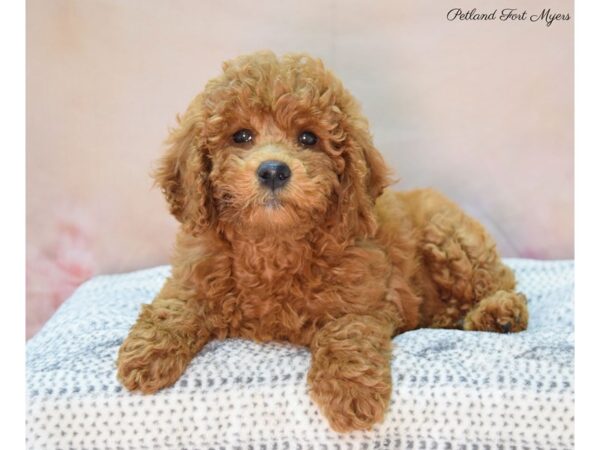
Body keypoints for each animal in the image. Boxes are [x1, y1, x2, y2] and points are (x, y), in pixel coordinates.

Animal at [116, 50, 524, 432]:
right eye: (241, 136)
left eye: (308, 138)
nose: (273, 170)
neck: (273, 242)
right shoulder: (191, 277)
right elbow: (173, 308)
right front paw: (145, 354)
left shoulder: (367, 297)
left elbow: (346, 331)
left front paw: (351, 393)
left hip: (450, 237)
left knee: (499, 281)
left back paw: (499, 313)